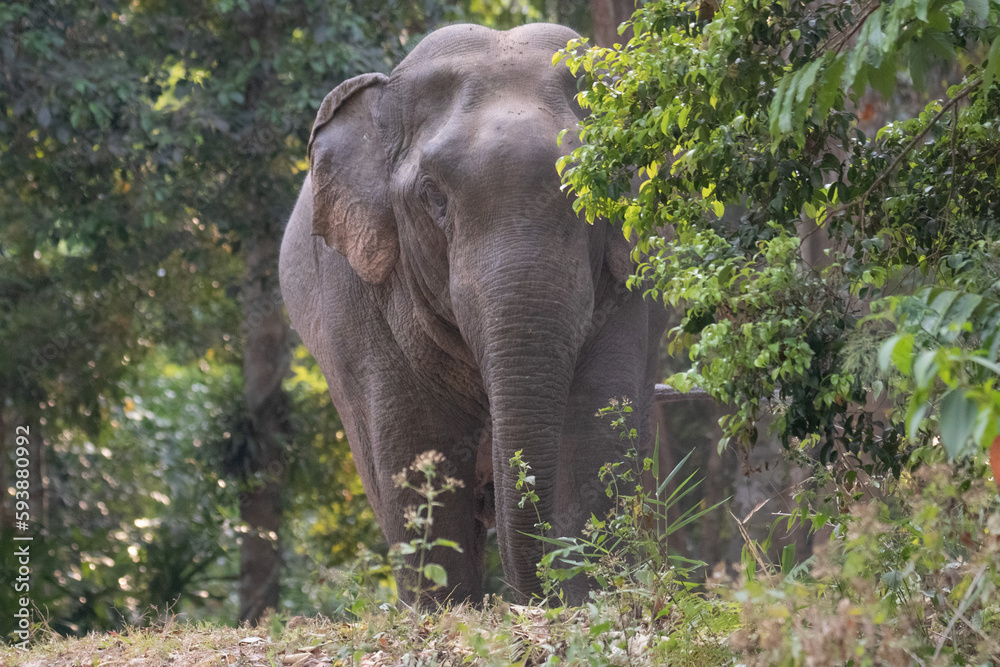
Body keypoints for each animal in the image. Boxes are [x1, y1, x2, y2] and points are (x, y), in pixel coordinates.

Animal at [279, 22, 666, 605]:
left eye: (605, 182)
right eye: (432, 196)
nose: (534, 598)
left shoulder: (627, 284)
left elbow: (596, 428)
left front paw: (586, 598)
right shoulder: (361, 299)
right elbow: (415, 454)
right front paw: (445, 611)